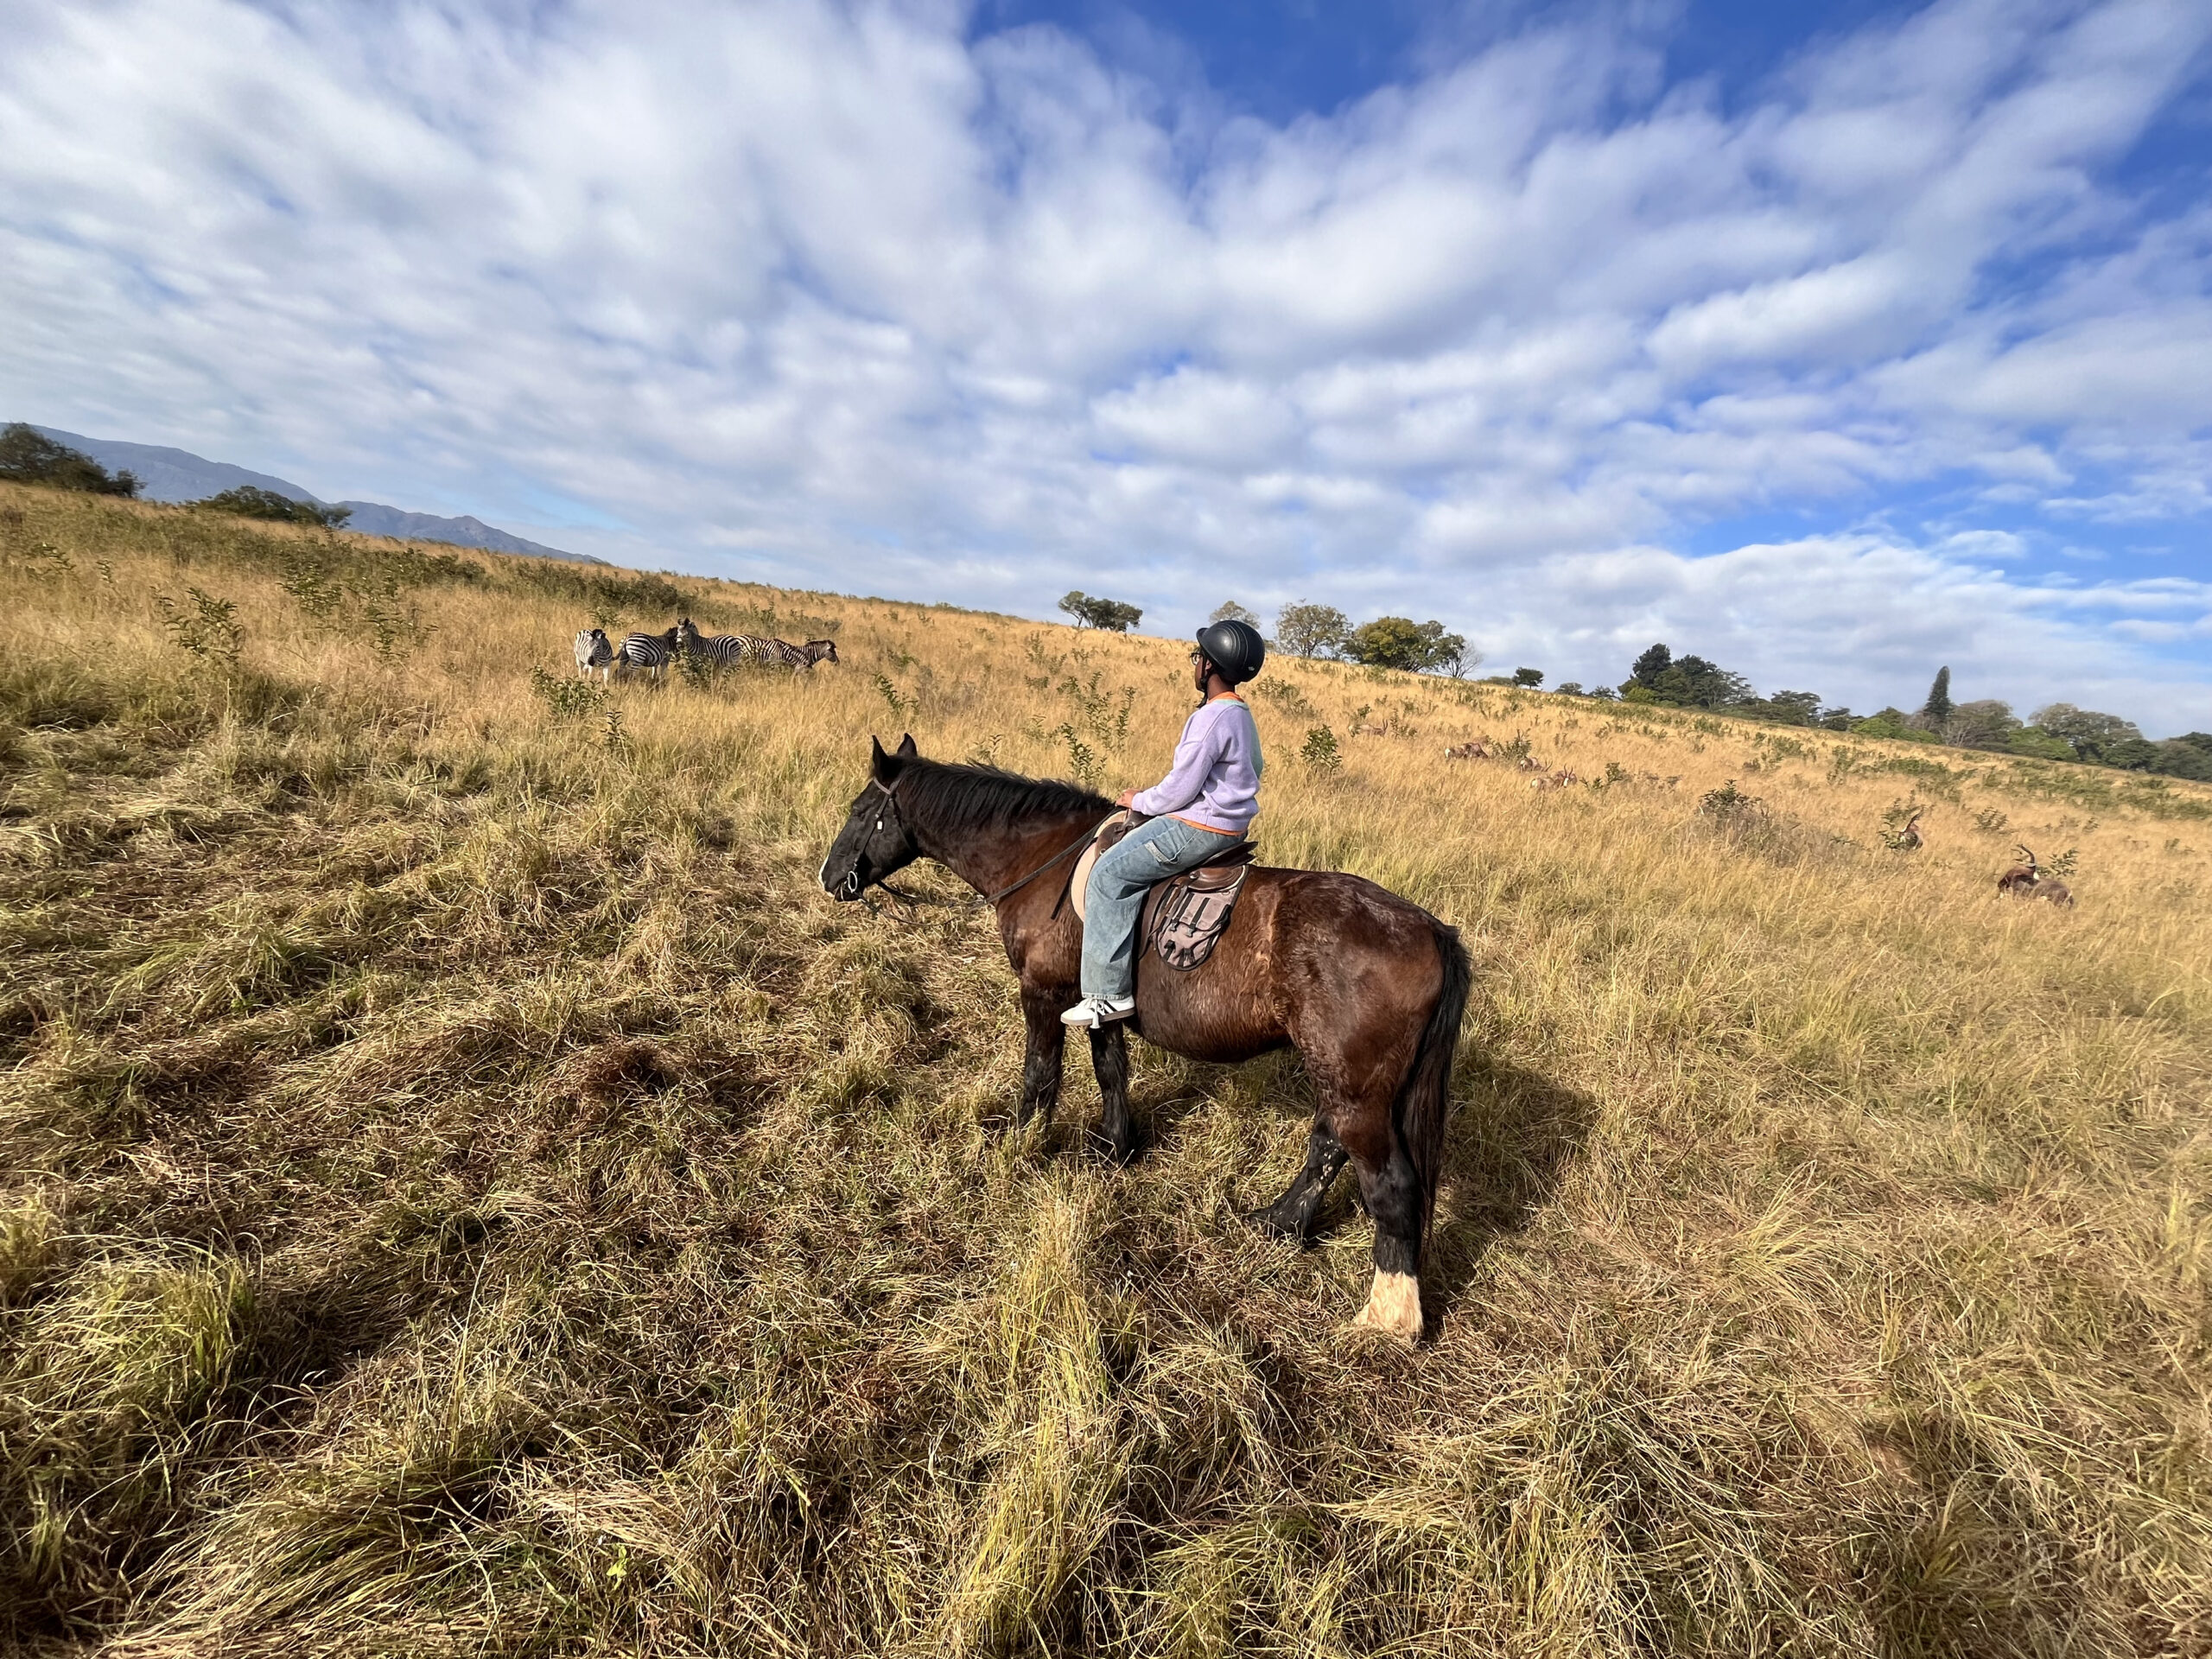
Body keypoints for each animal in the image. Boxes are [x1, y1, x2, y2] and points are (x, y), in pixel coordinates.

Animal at [818, 735, 1472, 1343]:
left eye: (860, 810)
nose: (828, 878)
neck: (1042, 861)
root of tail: (1432, 930)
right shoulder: (1096, 1003)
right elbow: (1110, 1070)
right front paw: (1116, 1149)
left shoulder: (1042, 993)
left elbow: (1040, 1074)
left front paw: (1020, 1148)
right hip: (1344, 1081)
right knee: (1328, 1146)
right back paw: (1278, 1223)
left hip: (1356, 1088)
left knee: (1389, 1184)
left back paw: (1389, 1315)